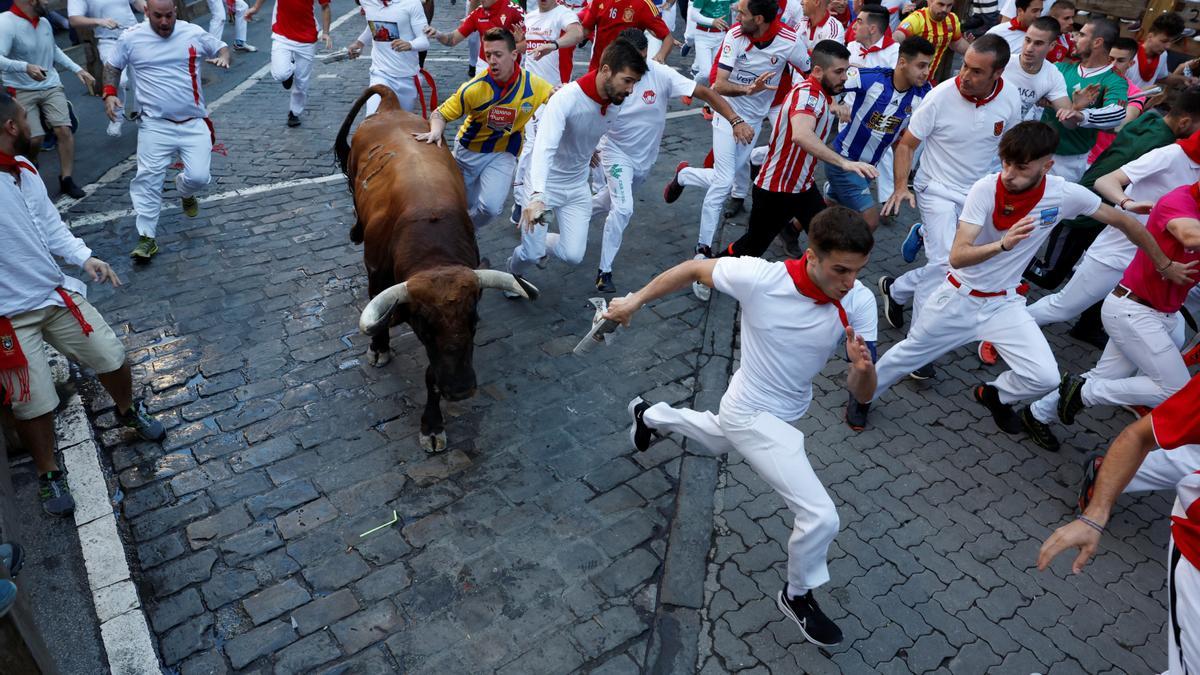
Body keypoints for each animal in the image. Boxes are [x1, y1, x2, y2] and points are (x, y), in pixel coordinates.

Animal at [333, 85, 540, 451]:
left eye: (474, 322)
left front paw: (432, 424)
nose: (460, 390)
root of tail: (391, 106)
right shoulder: (377, 275)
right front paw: (379, 348)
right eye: (424, 326)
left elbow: (432, 372)